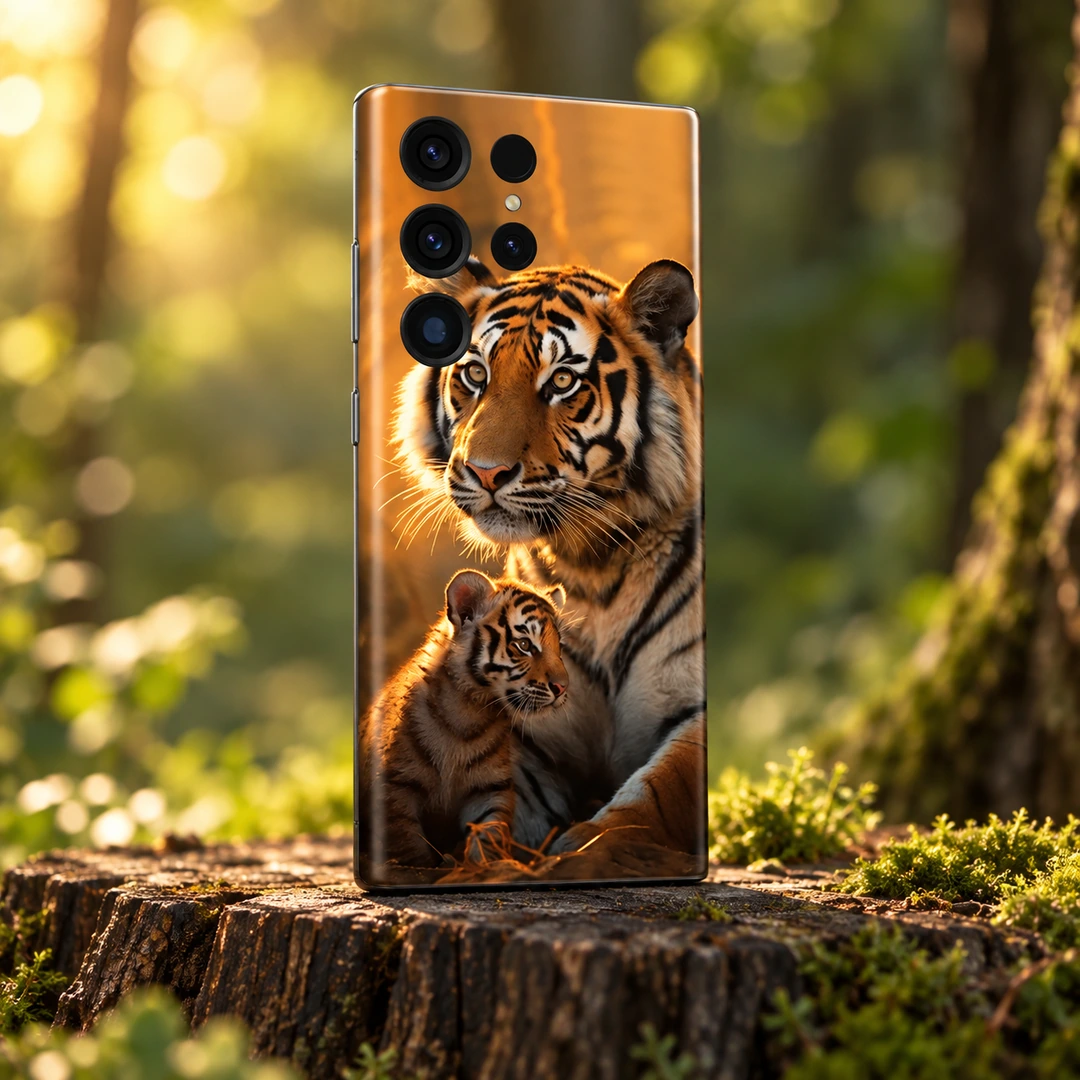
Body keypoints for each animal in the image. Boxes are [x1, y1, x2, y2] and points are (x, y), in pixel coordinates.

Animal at [357, 568, 569, 873]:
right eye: (525, 645)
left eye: (559, 646)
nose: (563, 687)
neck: (469, 711)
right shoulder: (395, 787)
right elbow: (409, 846)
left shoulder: (490, 788)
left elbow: (490, 832)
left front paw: (487, 869)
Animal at [393, 256, 707, 868]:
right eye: (474, 374)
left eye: (562, 382)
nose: (486, 472)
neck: (592, 562)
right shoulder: (525, 736)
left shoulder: (693, 709)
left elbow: (656, 793)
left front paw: (586, 852)